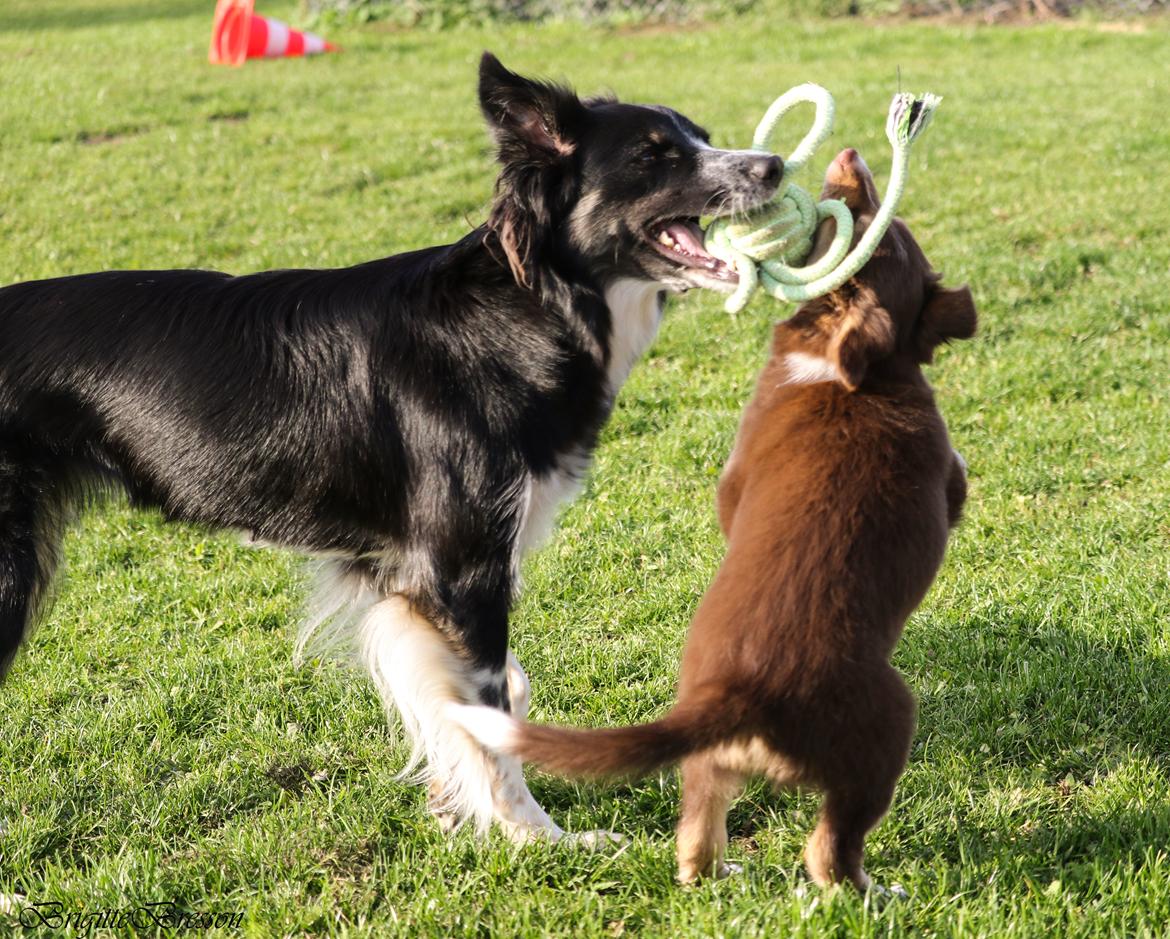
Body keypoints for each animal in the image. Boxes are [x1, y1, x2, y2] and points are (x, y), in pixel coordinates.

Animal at [451, 150, 973, 893]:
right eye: (880, 227)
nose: (848, 158)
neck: (844, 363)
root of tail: (737, 695)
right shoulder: (945, 475)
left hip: (711, 767)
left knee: (695, 838)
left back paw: (720, 872)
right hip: (885, 731)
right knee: (829, 849)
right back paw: (876, 891)